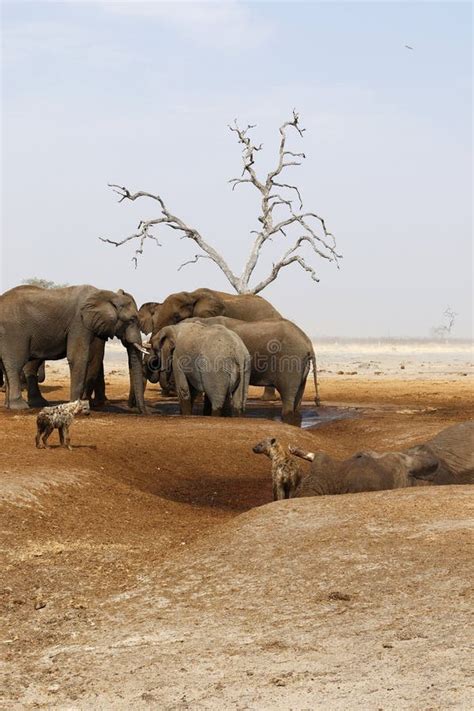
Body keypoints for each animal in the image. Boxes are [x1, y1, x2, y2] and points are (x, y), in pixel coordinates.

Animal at [0, 280, 147, 408]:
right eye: (132, 320)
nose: (142, 411)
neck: (107, 295)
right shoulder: (79, 323)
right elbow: (79, 357)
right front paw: (77, 406)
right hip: (13, 332)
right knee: (15, 364)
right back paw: (19, 406)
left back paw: (11, 406)